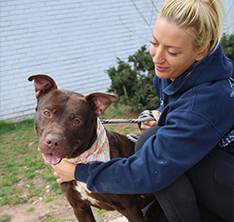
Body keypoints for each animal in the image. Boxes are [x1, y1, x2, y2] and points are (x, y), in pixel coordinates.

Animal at [28, 75, 160, 222]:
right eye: (47, 113)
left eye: (76, 121)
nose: (53, 142)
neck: (78, 161)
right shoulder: (79, 207)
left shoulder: (131, 208)